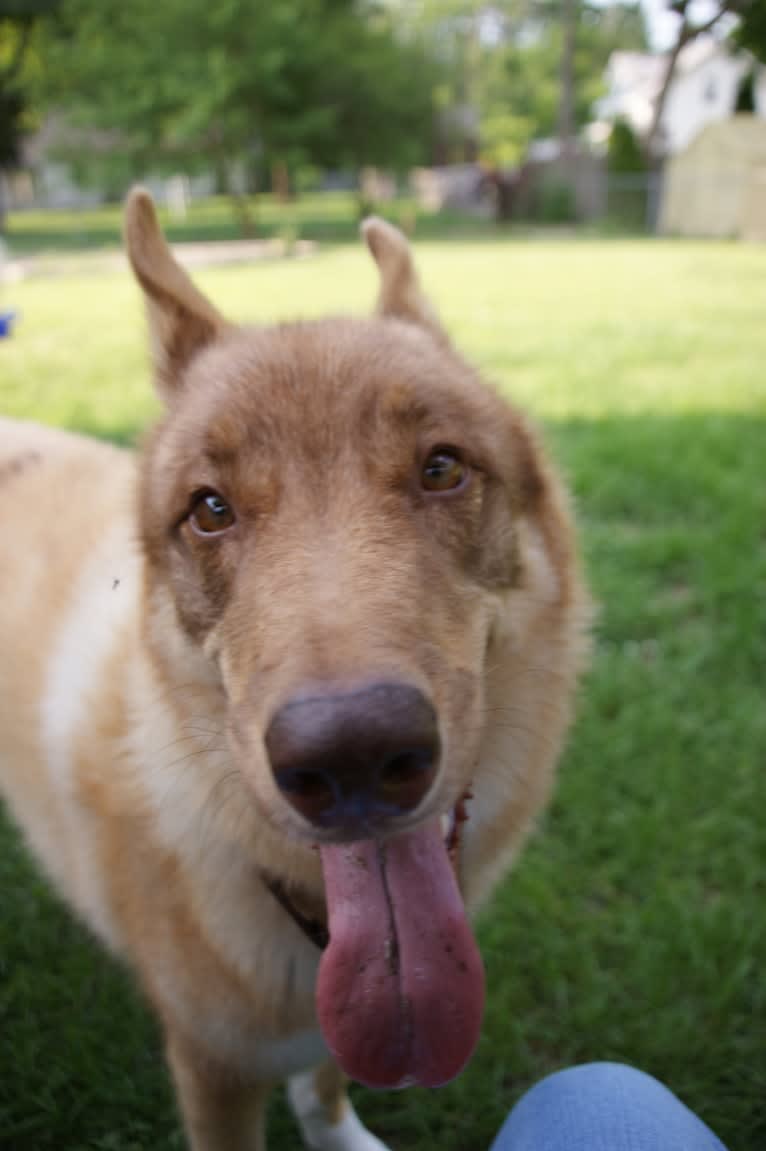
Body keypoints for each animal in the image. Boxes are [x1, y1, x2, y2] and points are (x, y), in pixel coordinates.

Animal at [0, 193, 584, 1146]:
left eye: (442, 467)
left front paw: (340, 1132)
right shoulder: (214, 1068)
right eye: (209, 509)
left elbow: (325, 1080)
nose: (352, 757)